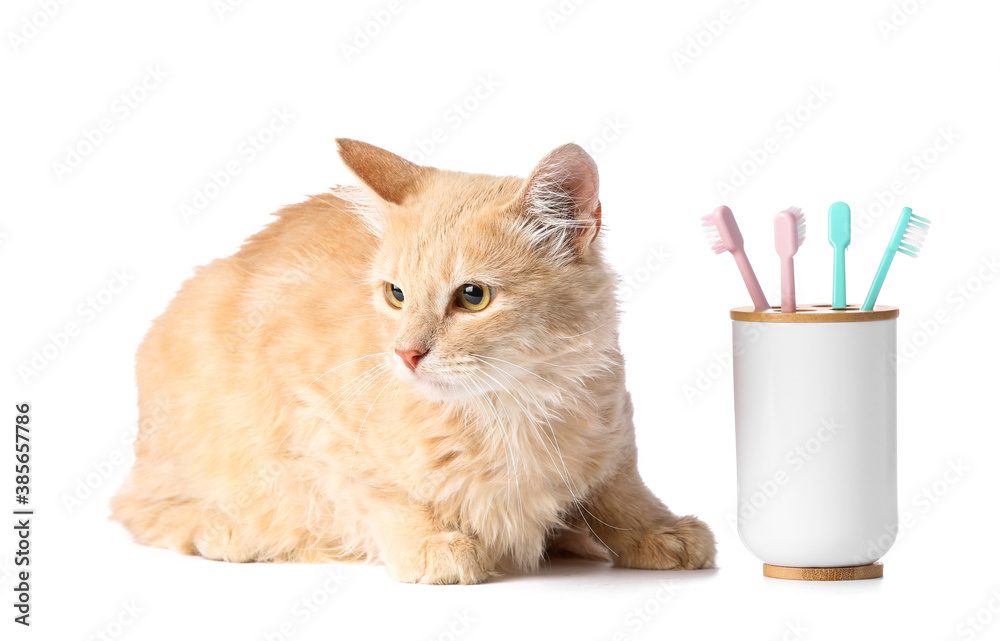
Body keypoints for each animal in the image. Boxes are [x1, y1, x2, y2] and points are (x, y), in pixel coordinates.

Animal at [109, 138, 716, 584]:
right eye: (395, 294)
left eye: (473, 296)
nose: (405, 353)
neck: (506, 408)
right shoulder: (313, 415)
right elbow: (383, 492)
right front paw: (431, 543)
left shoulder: (613, 426)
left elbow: (618, 489)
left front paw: (654, 529)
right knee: (143, 507)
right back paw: (230, 532)